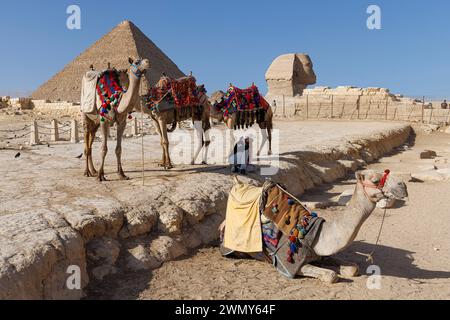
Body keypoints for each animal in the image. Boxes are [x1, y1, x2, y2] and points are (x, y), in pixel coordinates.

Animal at [220, 171, 410, 284]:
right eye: (375, 180)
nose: (403, 186)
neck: (318, 234)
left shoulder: (322, 254)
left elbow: (352, 268)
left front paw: (347, 268)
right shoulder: (291, 264)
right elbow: (331, 275)